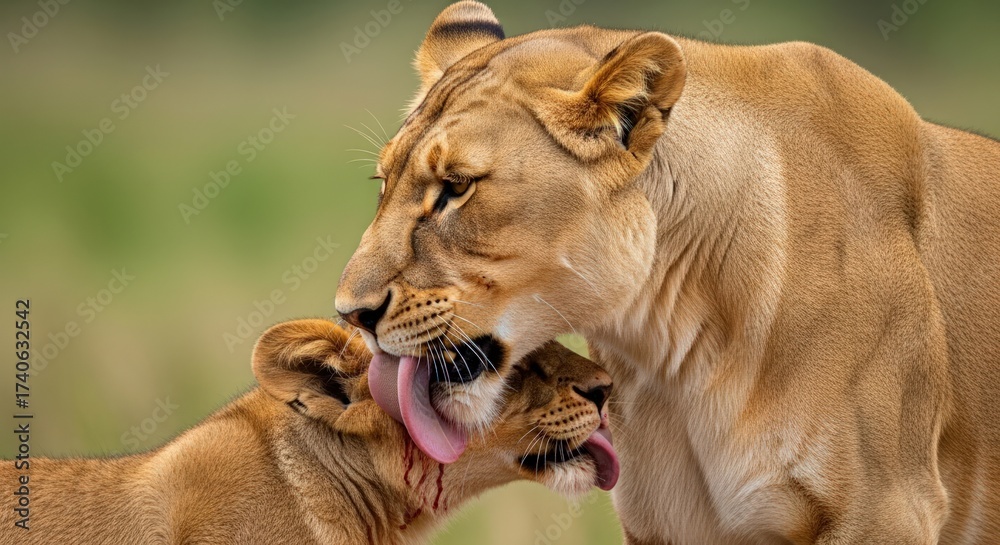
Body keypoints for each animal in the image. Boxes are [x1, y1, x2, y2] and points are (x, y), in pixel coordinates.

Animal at [334, 2, 1000, 543]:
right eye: (384, 182)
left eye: (456, 188)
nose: (351, 314)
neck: (670, 341)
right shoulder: (666, 520)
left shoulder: (888, 508)